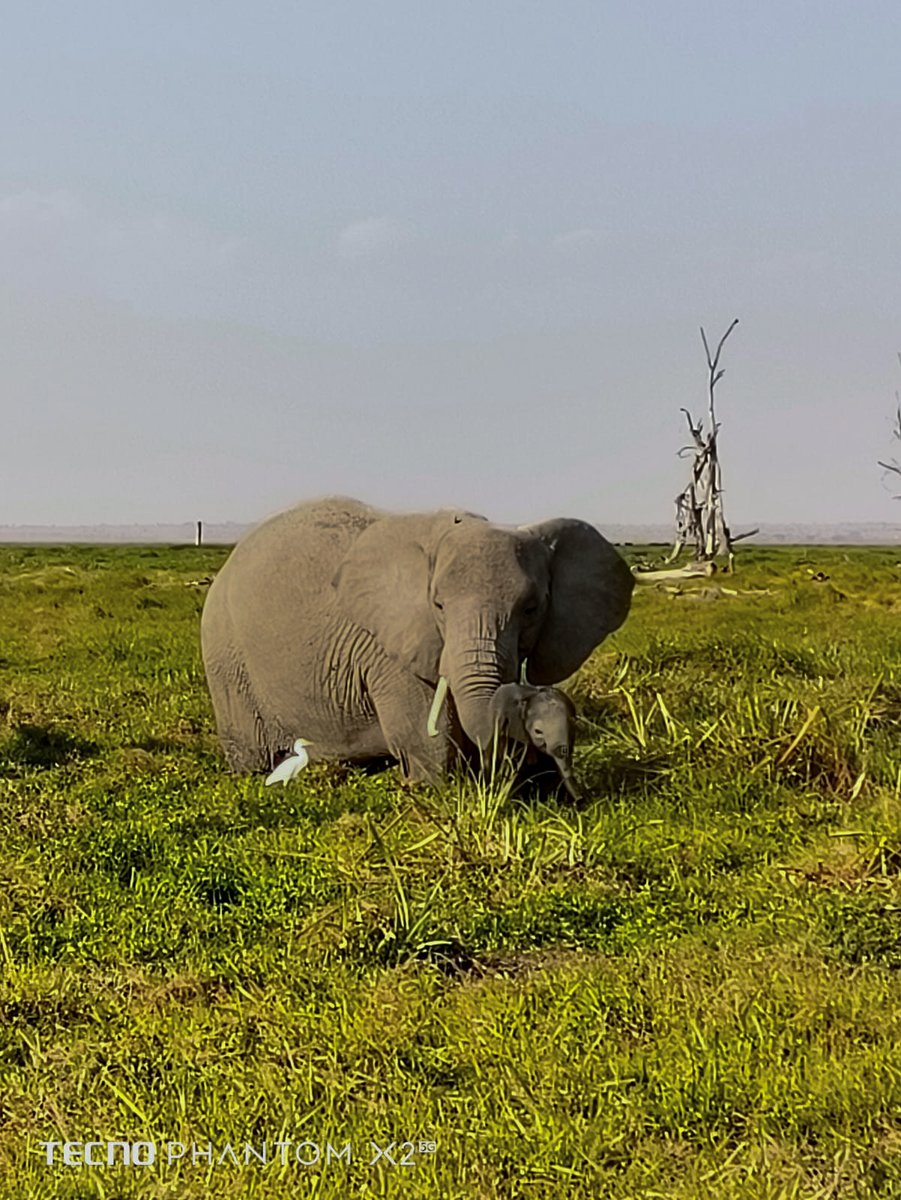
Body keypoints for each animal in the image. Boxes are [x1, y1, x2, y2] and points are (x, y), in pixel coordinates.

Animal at [200, 496, 633, 784]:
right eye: (438, 605)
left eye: (531, 609)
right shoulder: (385, 649)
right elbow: (428, 738)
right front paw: (432, 787)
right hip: (225, 656)